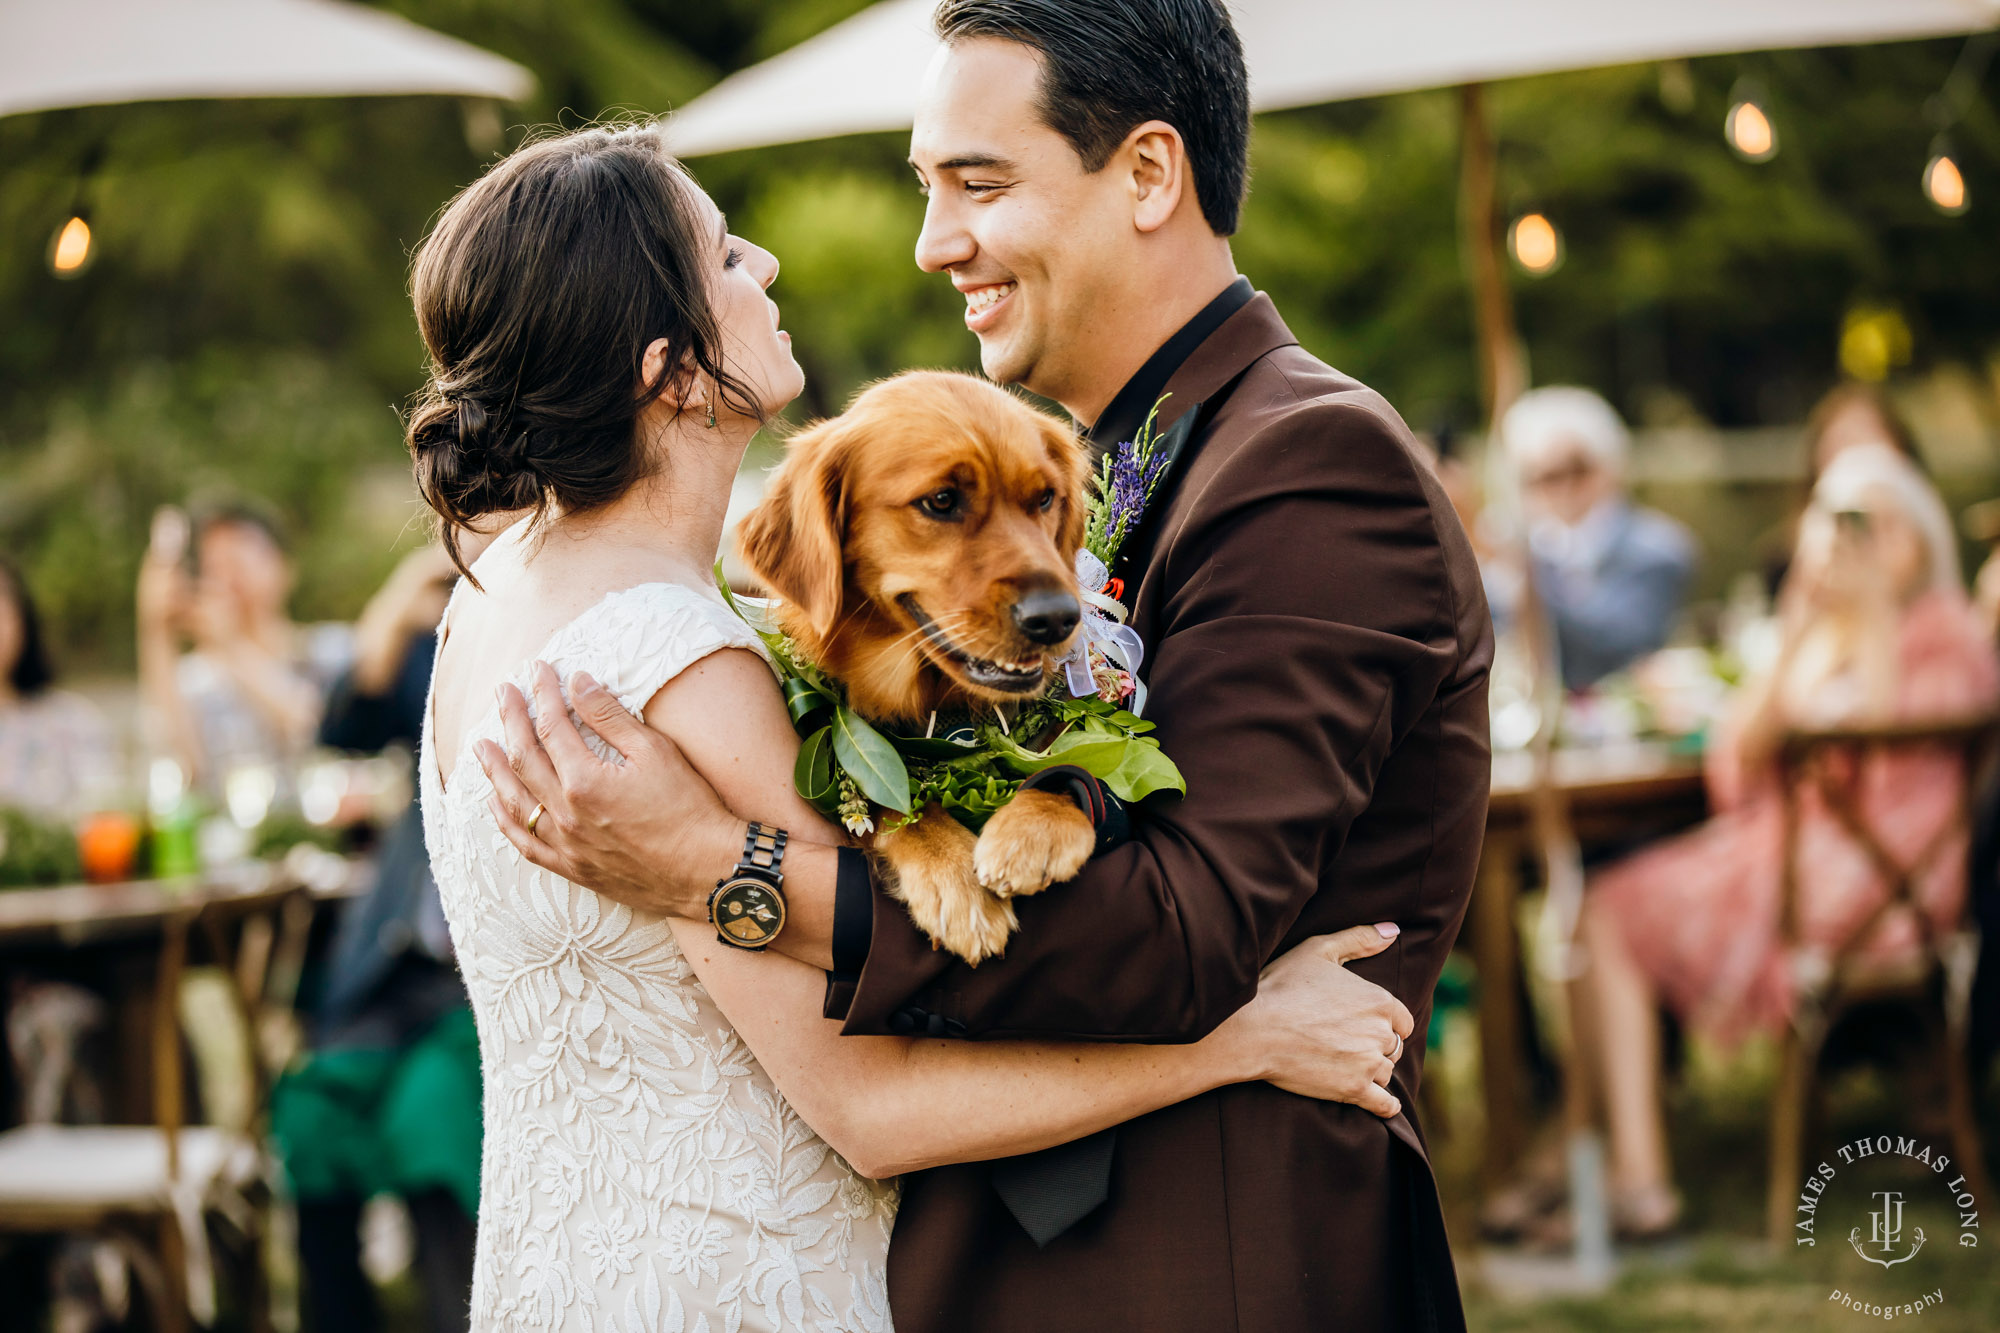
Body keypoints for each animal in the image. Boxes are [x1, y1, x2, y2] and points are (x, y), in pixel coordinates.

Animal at [744, 368, 1104, 960]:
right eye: (941, 500)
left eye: (1045, 497)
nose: (1058, 618)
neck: (945, 711)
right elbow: (895, 805)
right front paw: (953, 876)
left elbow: (1068, 760)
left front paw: (1036, 826)